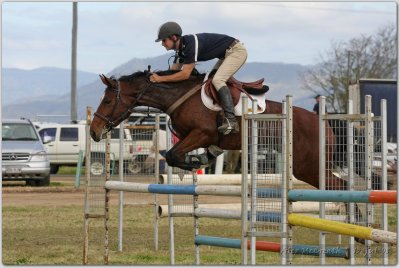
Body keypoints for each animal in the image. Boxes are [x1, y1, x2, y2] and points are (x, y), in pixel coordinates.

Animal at [90, 69, 346, 191]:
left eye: (107, 101)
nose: (94, 131)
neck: (179, 95)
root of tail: (323, 122)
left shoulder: (202, 133)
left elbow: (173, 155)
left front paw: (195, 163)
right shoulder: (192, 137)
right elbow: (173, 154)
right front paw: (201, 160)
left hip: (308, 167)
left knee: (340, 187)